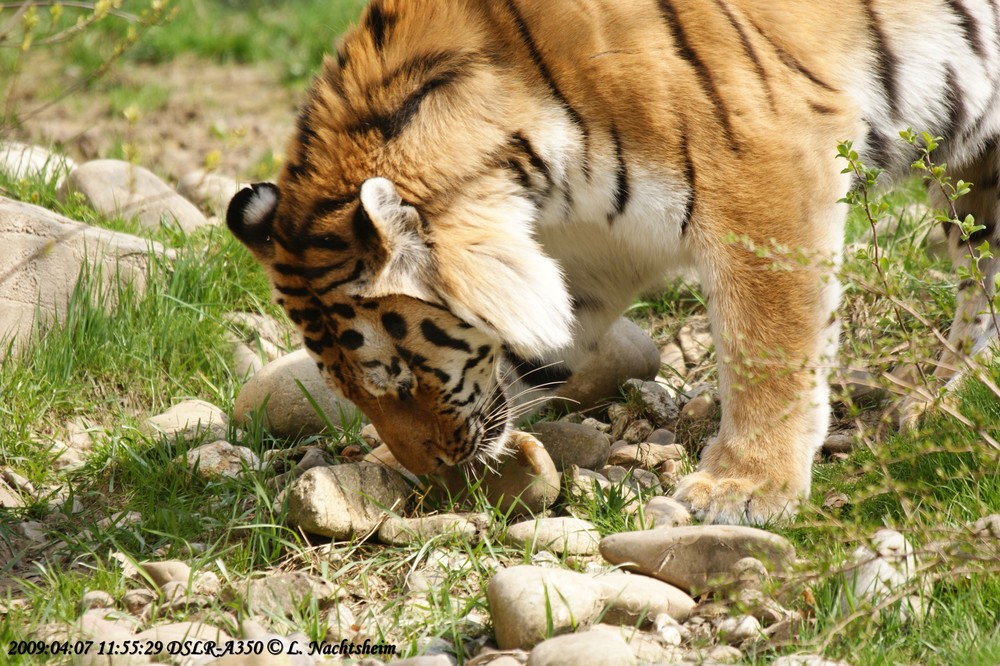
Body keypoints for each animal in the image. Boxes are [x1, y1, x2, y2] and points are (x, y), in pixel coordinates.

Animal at [227, 0, 1000, 524]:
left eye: (401, 374)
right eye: (349, 388)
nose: (432, 470)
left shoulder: (767, 164)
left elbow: (768, 345)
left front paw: (747, 488)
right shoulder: (591, 259)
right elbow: (533, 358)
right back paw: (938, 402)